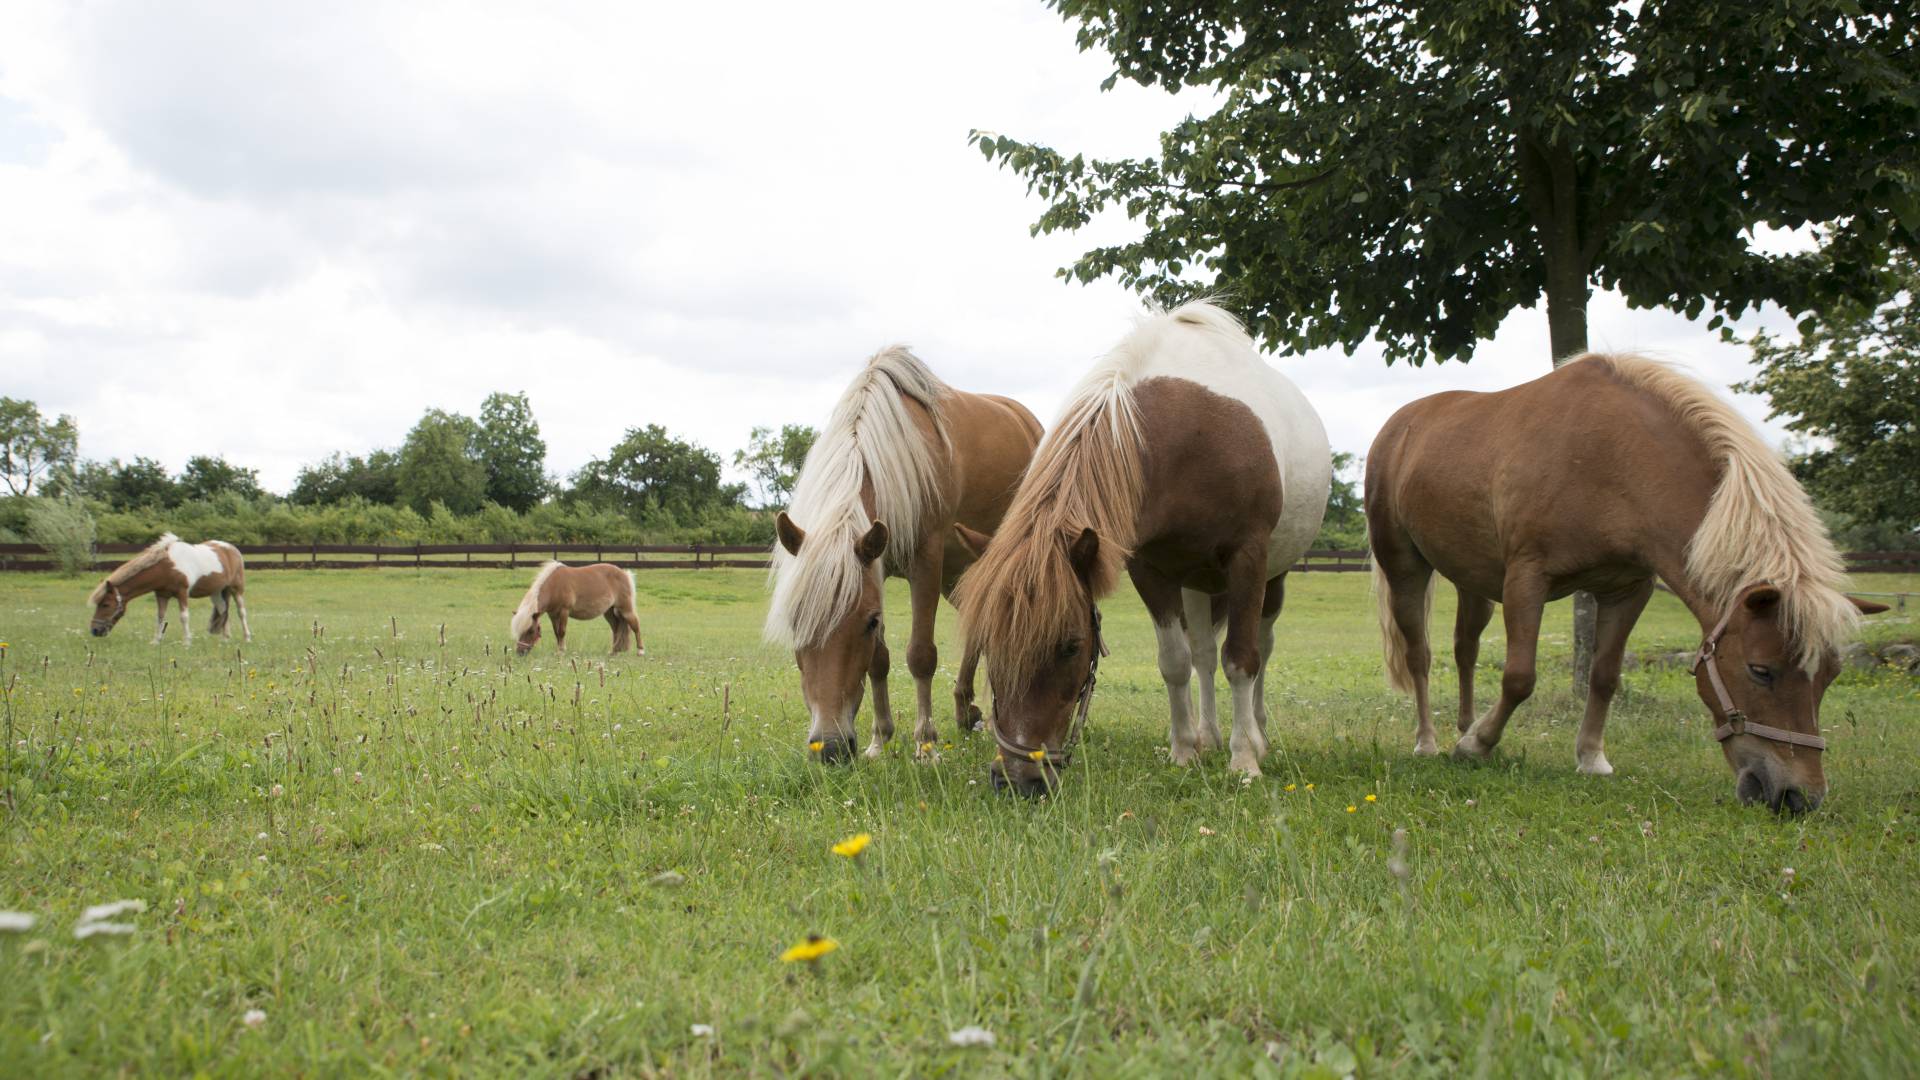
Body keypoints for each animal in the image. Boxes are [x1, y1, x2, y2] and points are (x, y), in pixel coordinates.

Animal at [86, 530, 249, 638]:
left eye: (105, 604)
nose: (94, 630)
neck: (167, 567)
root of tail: (232, 548)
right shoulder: (162, 595)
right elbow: (160, 617)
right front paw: (156, 641)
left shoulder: (182, 593)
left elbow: (184, 617)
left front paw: (187, 642)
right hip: (216, 592)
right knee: (223, 610)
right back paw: (225, 639)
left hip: (236, 589)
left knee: (241, 612)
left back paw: (247, 637)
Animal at [510, 557, 645, 653]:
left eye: (531, 631)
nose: (520, 652)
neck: (554, 586)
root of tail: (624, 573)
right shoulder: (552, 615)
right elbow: (556, 632)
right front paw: (558, 650)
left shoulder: (564, 611)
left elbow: (562, 631)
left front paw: (561, 651)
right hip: (609, 612)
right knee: (616, 629)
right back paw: (614, 651)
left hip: (625, 609)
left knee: (635, 626)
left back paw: (640, 651)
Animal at [760, 349, 1044, 760]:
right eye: (795, 620)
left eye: (869, 622)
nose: (831, 747)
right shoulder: (877, 566)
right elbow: (879, 662)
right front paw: (880, 740)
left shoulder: (926, 563)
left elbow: (921, 655)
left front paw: (926, 745)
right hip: (958, 574)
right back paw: (968, 710)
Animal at [1367, 349, 1889, 810]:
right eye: (1761, 670)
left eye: (1832, 674)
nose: (1799, 797)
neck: (1611, 457)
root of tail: (1400, 425)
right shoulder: (1527, 579)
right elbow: (1519, 678)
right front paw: (1478, 746)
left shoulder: (1627, 590)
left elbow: (1604, 676)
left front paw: (1590, 757)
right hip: (1407, 570)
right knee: (1420, 656)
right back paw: (1430, 741)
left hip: (1473, 579)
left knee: (1466, 650)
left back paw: (1466, 724)